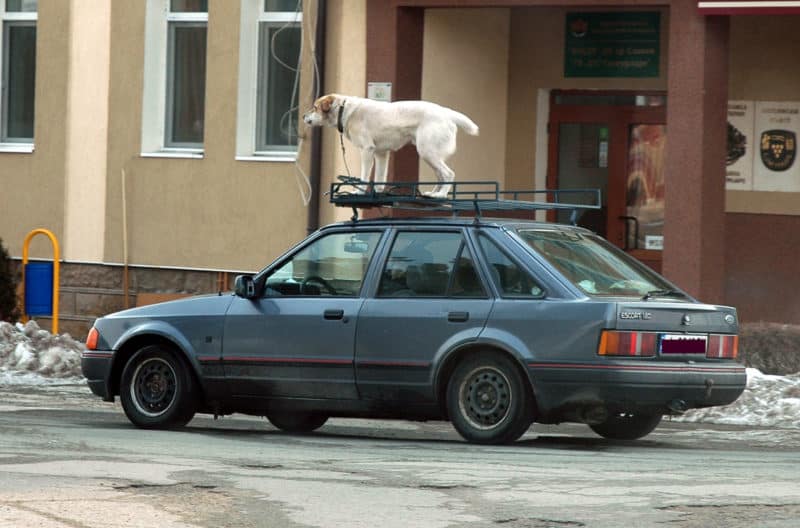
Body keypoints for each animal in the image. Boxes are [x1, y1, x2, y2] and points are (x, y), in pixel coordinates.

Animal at [300, 94, 476, 197]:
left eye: (315, 107)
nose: (303, 116)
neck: (343, 109)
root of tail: (446, 112)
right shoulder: (381, 154)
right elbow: (380, 177)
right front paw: (378, 193)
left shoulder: (367, 150)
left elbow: (364, 177)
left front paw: (358, 191)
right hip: (430, 154)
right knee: (441, 175)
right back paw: (433, 194)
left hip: (427, 152)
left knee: (449, 174)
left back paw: (441, 195)